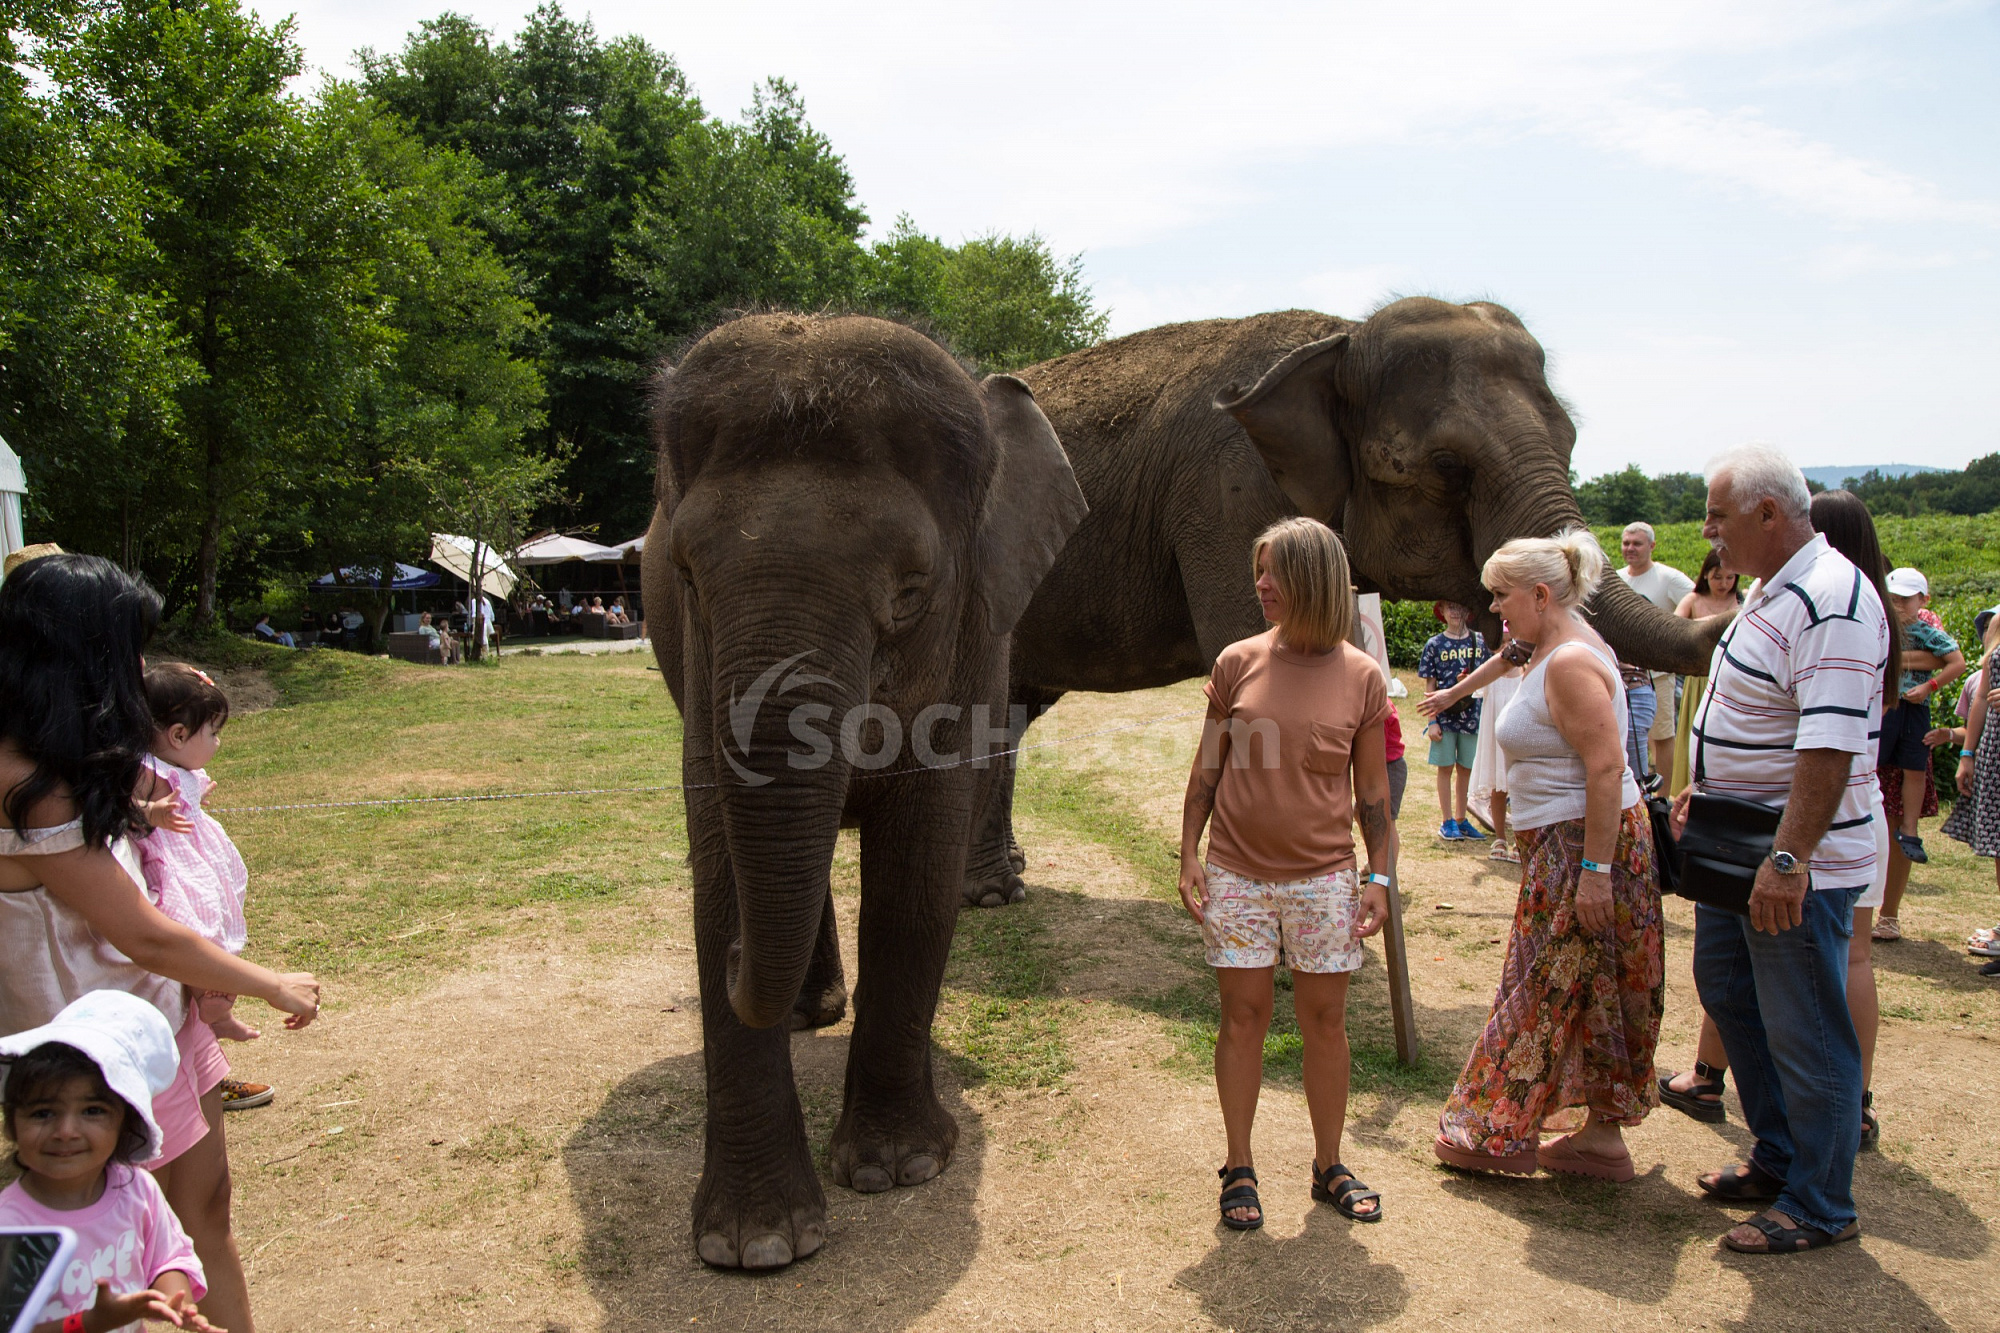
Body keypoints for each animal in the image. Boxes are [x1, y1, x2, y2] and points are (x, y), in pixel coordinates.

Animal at [640, 312, 1088, 1264]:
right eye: (684, 575)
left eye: (912, 591)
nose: (731, 966)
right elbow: (716, 852)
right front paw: (757, 1247)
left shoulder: (971, 643)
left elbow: (918, 865)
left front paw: (900, 1169)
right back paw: (809, 1011)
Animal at [960, 300, 1728, 904]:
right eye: (1447, 466)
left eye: (1570, 440)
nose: (1722, 595)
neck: (1340, 339)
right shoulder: (1226, 498)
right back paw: (993, 896)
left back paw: (1007, 880)